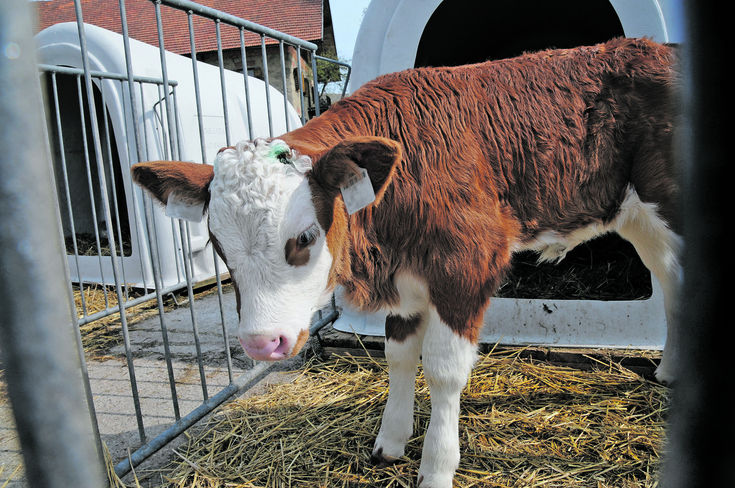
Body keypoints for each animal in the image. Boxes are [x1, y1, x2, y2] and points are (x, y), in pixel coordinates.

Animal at [132, 37, 684, 484]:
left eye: (305, 236)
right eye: (217, 244)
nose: (262, 343)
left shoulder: (468, 264)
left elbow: (443, 369)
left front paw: (437, 467)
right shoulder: (403, 278)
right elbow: (398, 356)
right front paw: (390, 442)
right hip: (639, 217)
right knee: (673, 282)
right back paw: (669, 372)